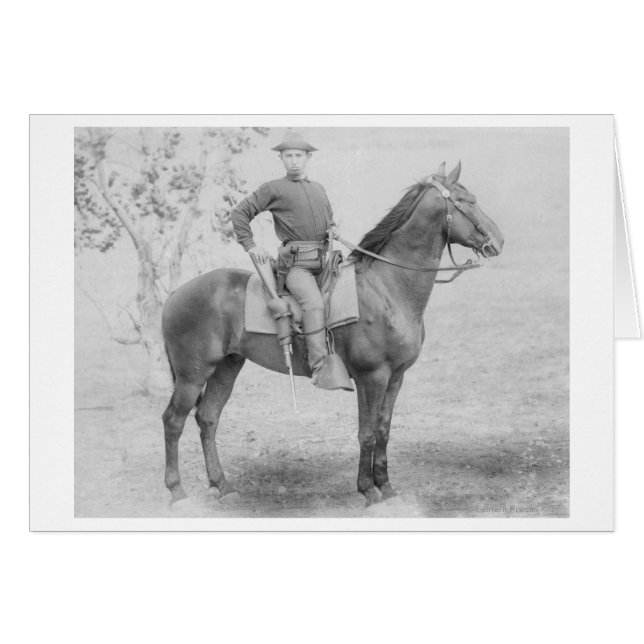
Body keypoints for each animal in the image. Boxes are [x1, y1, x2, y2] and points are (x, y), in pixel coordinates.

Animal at [161, 161, 504, 507]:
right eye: (468, 201)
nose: (498, 241)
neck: (385, 288)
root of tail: (176, 294)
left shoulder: (396, 377)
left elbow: (384, 430)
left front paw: (386, 487)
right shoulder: (372, 377)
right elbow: (367, 433)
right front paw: (368, 490)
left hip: (227, 367)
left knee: (207, 418)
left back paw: (222, 485)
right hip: (193, 376)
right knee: (173, 421)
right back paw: (177, 491)